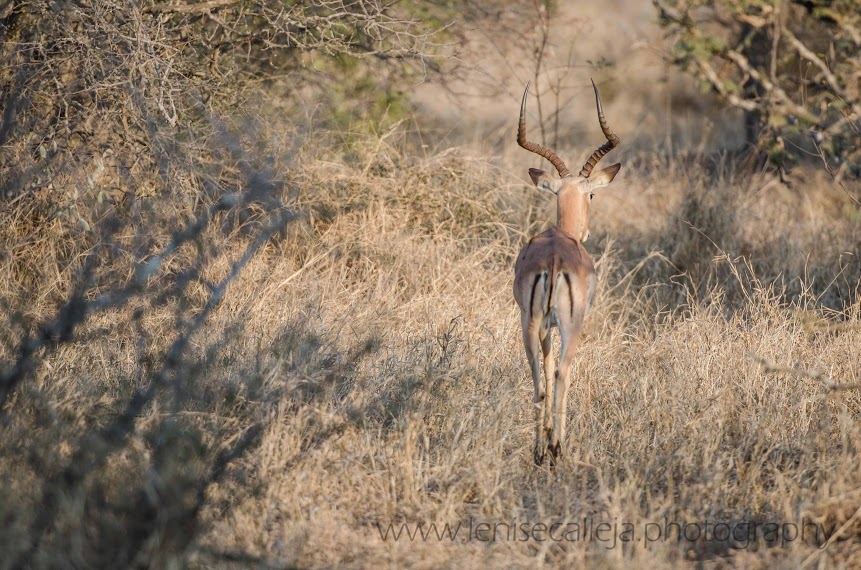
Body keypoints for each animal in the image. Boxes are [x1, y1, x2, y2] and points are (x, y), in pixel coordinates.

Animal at [513, 80, 621, 465]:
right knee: (562, 373)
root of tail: (555, 261)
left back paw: (538, 449)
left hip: (530, 322)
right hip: (571, 325)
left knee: (537, 375)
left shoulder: (543, 324)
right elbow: (561, 372)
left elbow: (544, 369)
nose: (586, 232)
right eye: (592, 195)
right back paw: (557, 448)